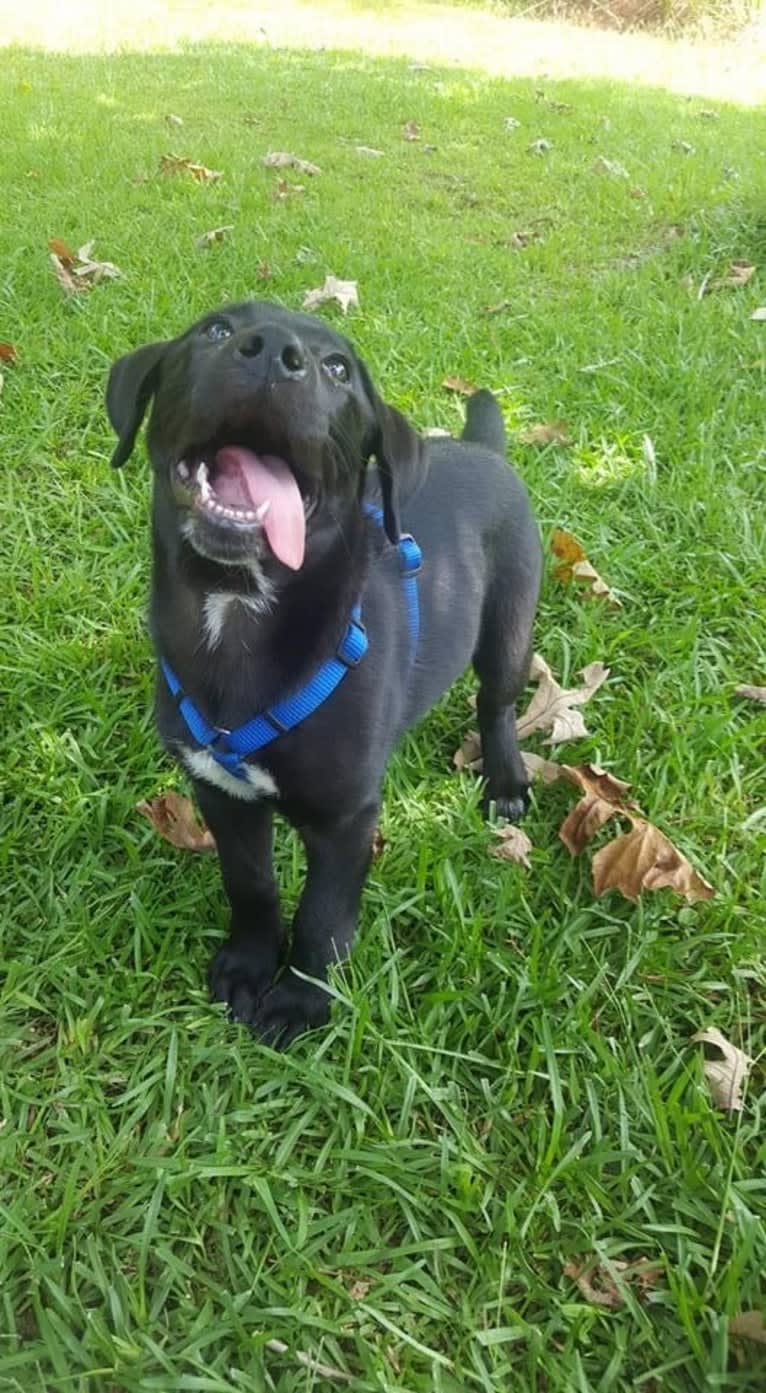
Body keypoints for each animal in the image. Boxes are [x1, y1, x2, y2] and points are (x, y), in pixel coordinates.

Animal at [105, 302, 543, 1047]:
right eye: (215, 331)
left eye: (338, 368)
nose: (272, 351)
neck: (238, 609)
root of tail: (484, 450)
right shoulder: (220, 789)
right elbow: (251, 884)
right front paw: (249, 966)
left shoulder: (345, 818)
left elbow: (322, 916)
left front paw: (301, 1002)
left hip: (509, 623)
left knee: (497, 701)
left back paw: (506, 780)